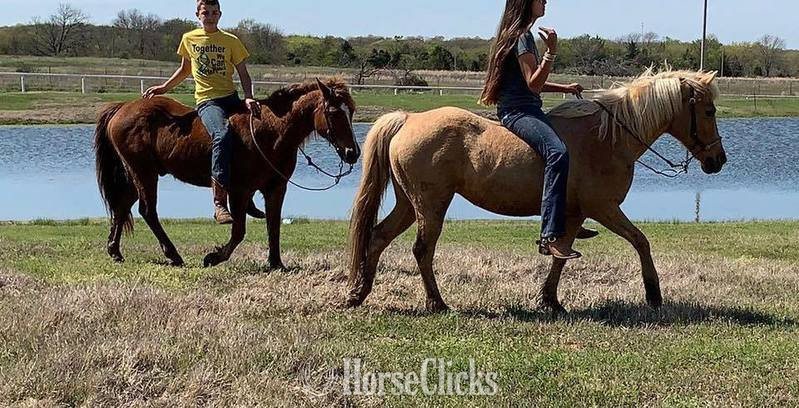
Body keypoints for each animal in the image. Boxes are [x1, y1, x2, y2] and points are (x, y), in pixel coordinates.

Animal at [94, 78, 359, 268]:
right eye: (334, 112)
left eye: (352, 112)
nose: (352, 152)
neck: (271, 131)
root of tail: (122, 108)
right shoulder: (240, 190)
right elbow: (239, 230)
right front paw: (214, 257)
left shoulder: (276, 188)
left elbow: (274, 225)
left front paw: (276, 263)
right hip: (144, 173)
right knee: (147, 211)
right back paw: (173, 255)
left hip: (137, 174)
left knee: (122, 206)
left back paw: (114, 251)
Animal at [346, 69, 727, 313]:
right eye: (709, 111)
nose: (718, 160)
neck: (609, 138)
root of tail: (408, 119)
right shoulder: (603, 207)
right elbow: (640, 241)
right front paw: (653, 293)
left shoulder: (575, 213)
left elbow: (561, 255)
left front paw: (550, 299)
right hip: (430, 206)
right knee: (422, 250)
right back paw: (437, 303)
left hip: (408, 204)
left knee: (378, 237)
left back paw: (358, 293)